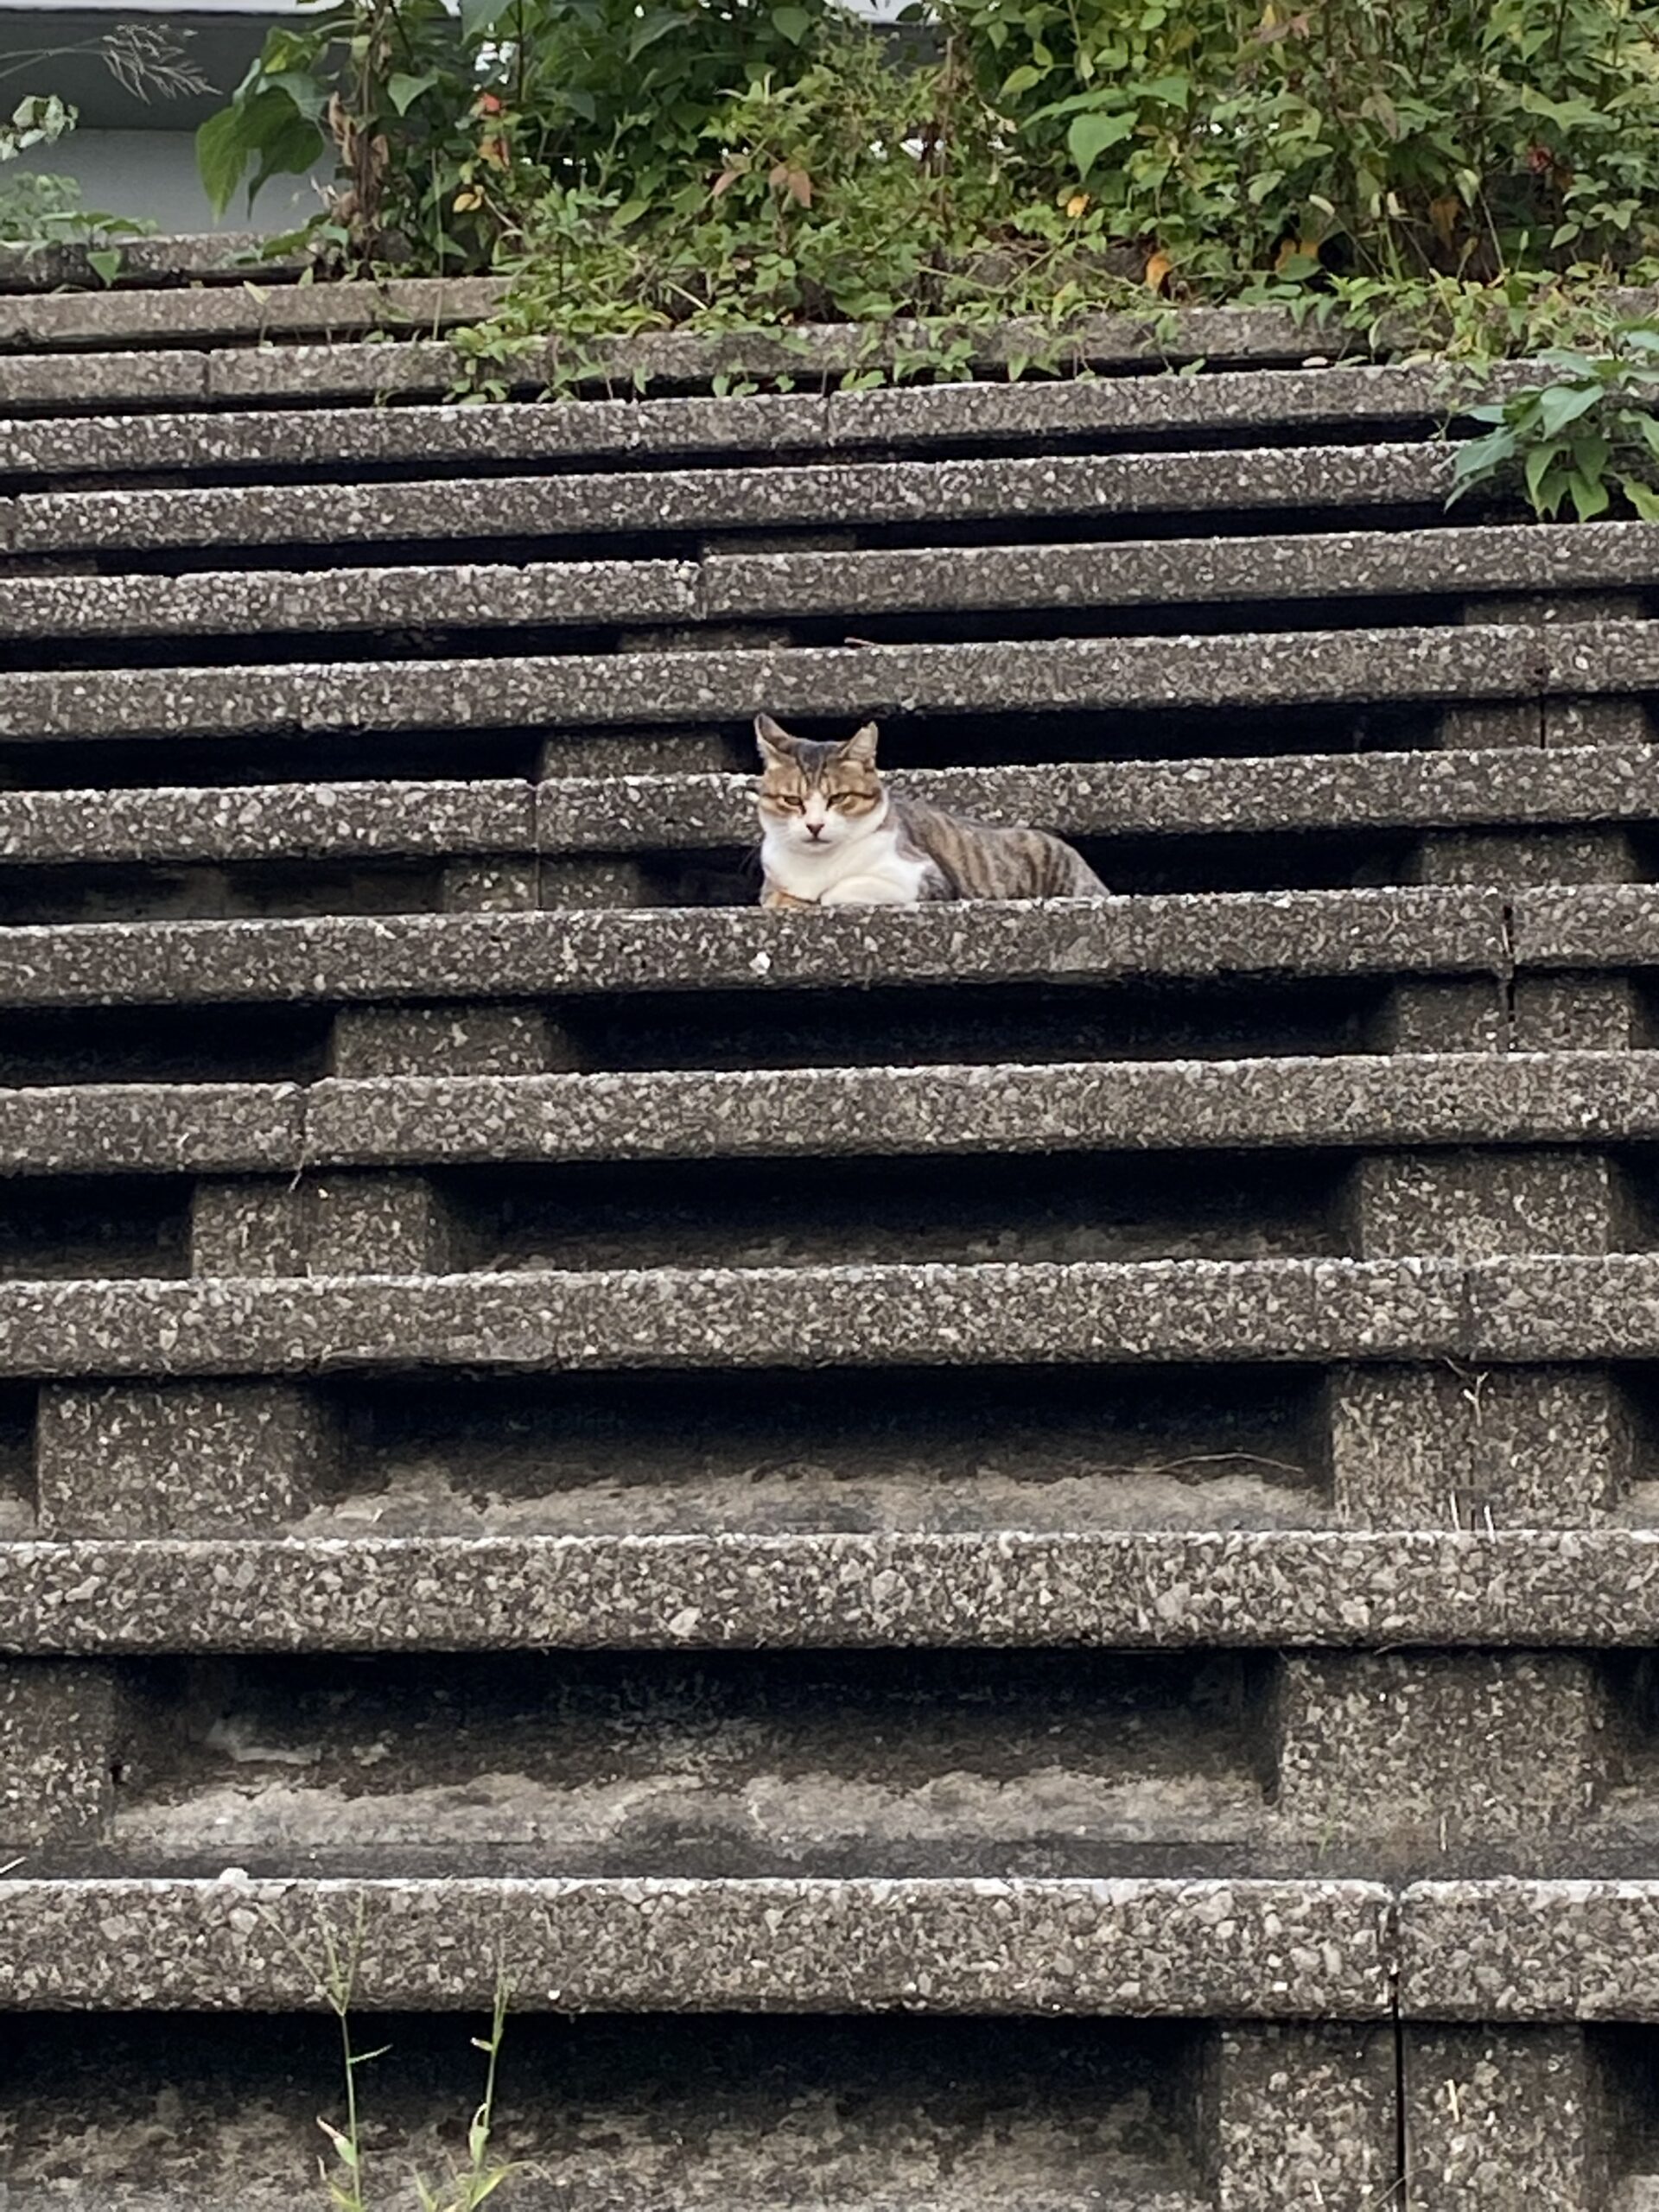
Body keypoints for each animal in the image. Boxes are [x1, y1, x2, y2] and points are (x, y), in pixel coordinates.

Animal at [752, 716, 1106, 906]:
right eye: (792, 801)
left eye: (838, 798)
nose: (814, 826)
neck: (817, 865)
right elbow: (775, 897)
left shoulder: (923, 877)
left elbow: (839, 890)